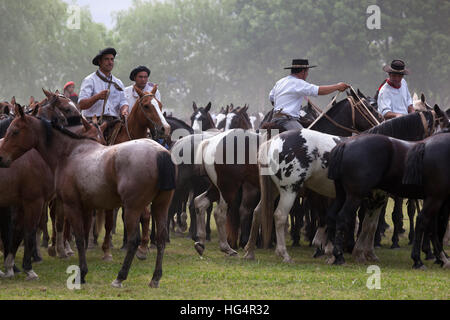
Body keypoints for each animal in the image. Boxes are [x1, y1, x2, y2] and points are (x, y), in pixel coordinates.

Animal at [0, 105, 176, 288]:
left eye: (15, 131)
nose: (1, 157)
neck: (69, 153)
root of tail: (160, 152)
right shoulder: (85, 207)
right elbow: (83, 236)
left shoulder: (71, 206)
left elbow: (78, 238)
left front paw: (81, 274)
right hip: (160, 206)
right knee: (161, 239)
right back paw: (155, 278)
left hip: (132, 209)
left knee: (134, 240)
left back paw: (120, 277)